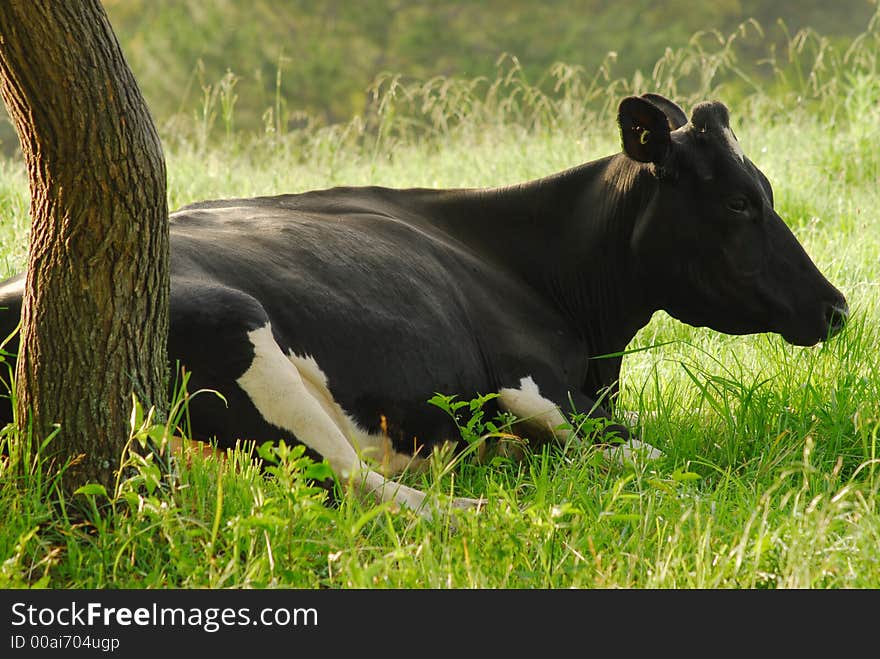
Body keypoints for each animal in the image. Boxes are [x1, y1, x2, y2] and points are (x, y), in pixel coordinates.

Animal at [1, 96, 852, 520]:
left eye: (766, 190)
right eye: (740, 202)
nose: (836, 306)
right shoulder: (534, 385)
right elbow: (654, 452)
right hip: (246, 341)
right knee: (362, 486)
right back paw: (489, 507)